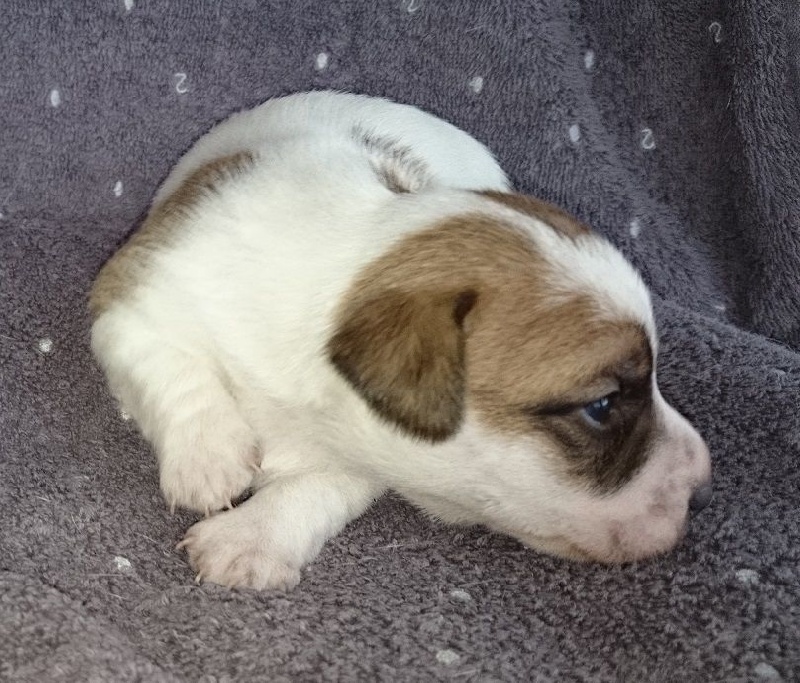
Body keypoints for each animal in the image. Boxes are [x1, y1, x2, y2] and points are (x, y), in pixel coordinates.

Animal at [89, 91, 712, 590]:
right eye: (602, 406)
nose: (703, 489)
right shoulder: (131, 296)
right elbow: (171, 367)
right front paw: (209, 457)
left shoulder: (371, 452)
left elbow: (324, 486)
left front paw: (250, 539)